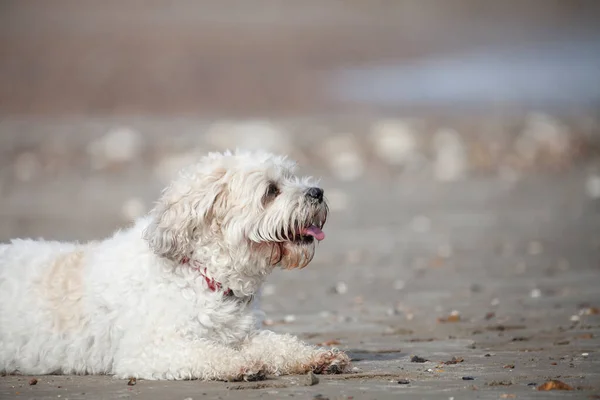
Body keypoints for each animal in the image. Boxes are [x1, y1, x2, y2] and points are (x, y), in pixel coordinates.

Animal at [0, 150, 350, 382]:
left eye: (292, 177)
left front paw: (318, 356)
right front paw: (240, 365)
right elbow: (207, 353)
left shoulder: (242, 334)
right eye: (271, 191)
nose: (318, 191)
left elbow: (280, 344)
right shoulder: (150, 350)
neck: (204, 274)